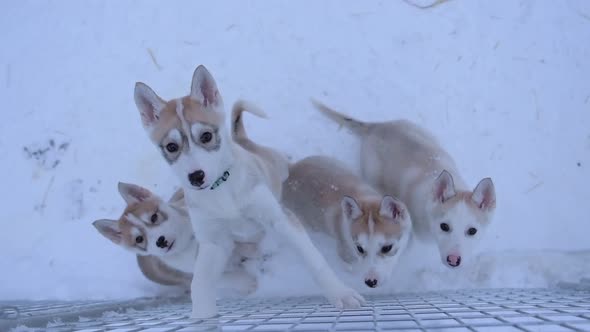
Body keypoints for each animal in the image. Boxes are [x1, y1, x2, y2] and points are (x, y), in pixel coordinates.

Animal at [92, 182, 260, 296]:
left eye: (154, 217)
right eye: (138, 239)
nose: (160, 241)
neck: (188, 241)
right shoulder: (190, 272)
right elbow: (221, 278)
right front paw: (247, 282)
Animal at [133, 66, 366, 318]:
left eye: (206, 136)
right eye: (171, 147)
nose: (196, 177)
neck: (221, 190)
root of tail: (242, 140)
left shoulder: (280, 218)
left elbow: (314, 259)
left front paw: (340, 293)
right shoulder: (213, 243)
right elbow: (199, 283)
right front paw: (202, 315)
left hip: (276, 167)